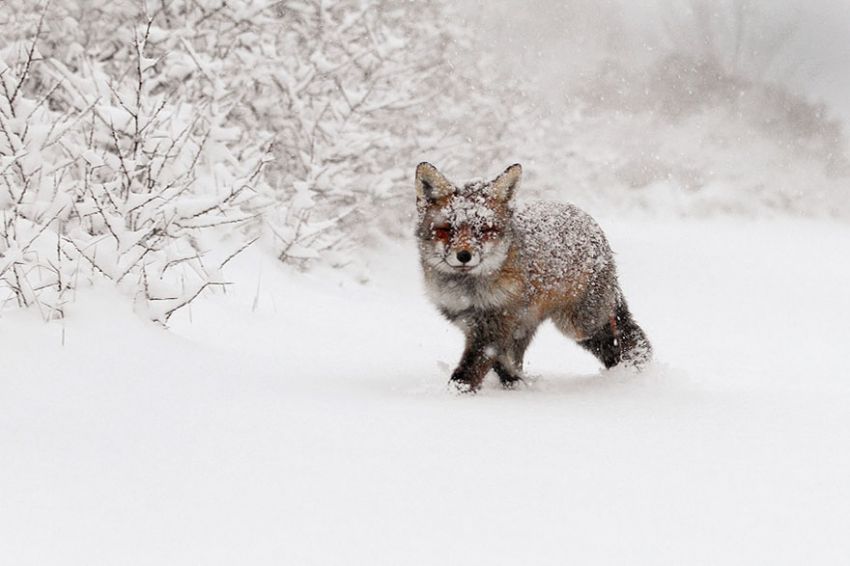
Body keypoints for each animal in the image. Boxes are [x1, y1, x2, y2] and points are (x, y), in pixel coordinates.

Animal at [416, 162, 648, 392]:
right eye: (446, 229)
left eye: (485, 230)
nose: (464, 256)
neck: (468, 292)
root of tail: (585, 216)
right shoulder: (473, 322)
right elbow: (501, 363)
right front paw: (514, 383)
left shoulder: (495, 323)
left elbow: (469, 371)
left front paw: (456, 394)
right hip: (528, 325)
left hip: (578, 325)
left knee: (617, 333)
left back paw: (630, 368)